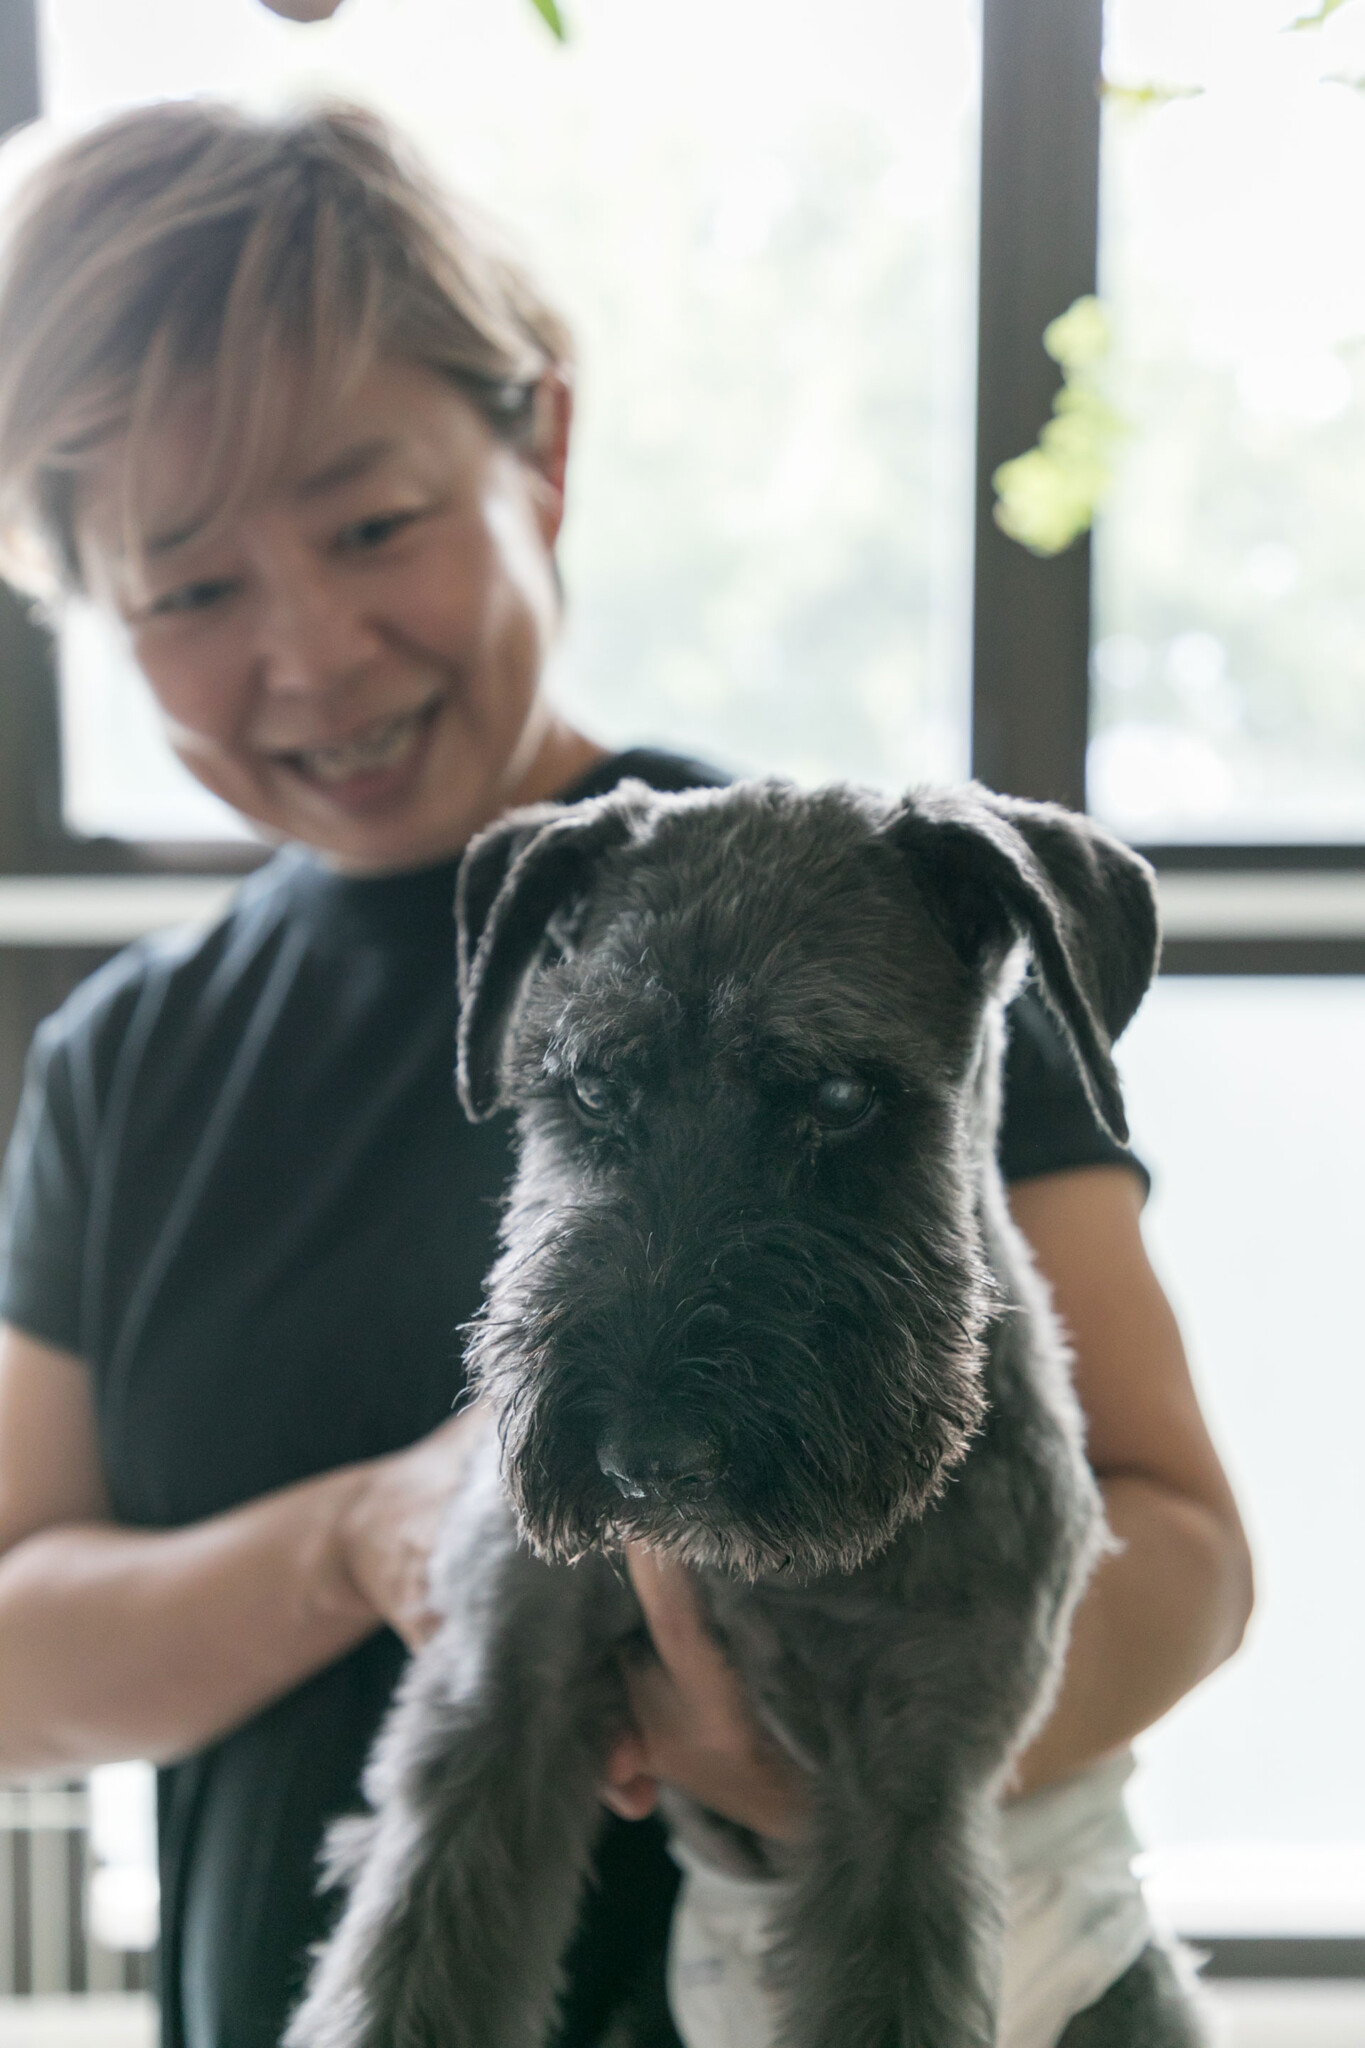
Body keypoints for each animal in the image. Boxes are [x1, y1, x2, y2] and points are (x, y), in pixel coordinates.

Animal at [286, 774, 1195, 2039]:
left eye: (843, 1092)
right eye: (592, 1087)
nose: (643, 1457)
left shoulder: (907, 1792)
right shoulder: (498, 1700)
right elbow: (405, 1973)